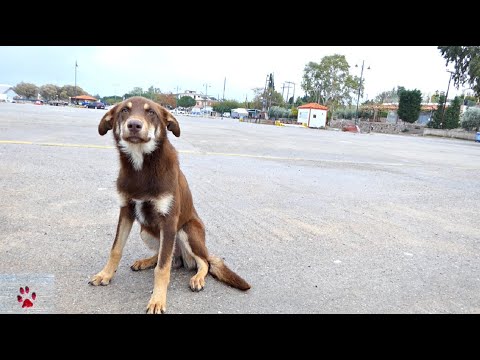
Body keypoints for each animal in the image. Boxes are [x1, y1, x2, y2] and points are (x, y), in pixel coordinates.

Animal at [88, 97, 251, 314]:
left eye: (151, 113)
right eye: (124, 110)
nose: (134, 125)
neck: (141, 167)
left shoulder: (169, 221)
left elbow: (162, 268)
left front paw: (157, 300)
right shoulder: (126, 212)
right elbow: (116, 249)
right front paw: (105, 274)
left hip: (186, 231)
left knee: (202, 262)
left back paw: (197, 278)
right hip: (146, 232)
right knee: (169, 257)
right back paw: (146, 261)